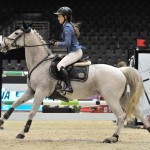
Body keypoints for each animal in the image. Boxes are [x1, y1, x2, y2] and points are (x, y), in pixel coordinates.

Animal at [0, 23, 149, 143]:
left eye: (16, 33)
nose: (2, 45)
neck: (40, 63)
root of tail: (120, 70)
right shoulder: (31, 91)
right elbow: (14, 104)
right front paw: (2, 121)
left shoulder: (40, 92)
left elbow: (31, 112)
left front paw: (22, 132)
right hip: (122, 98)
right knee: (138, 112)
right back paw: (147, 128)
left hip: (111, 98)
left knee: (121, 116)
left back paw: (113, 137)